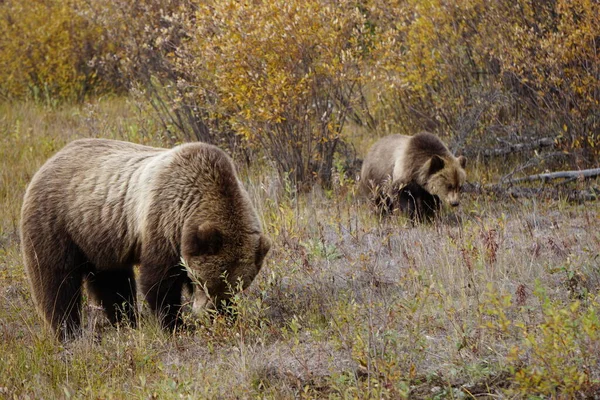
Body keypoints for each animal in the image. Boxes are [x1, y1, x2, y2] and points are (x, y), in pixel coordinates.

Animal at [20, 139, 270, 340]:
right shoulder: (163, 224)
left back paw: (126, 322)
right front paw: (175, 326)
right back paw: (68, 332)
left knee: (112, 282)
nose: (209, 312)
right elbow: (158, 283)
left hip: (100, 237)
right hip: (57, 225)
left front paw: (229, 319)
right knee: (56, 281)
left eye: (236, 286)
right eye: (205, 281)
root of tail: (48, 162)